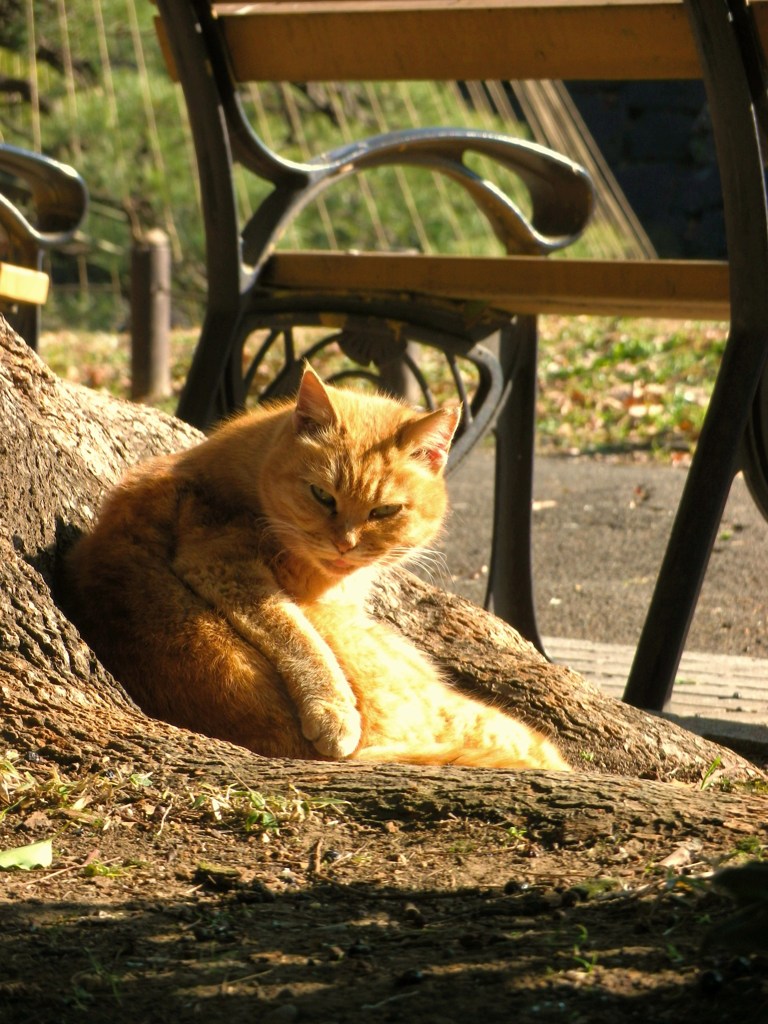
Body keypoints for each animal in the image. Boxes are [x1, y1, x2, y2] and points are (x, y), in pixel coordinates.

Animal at [67, 364, 573, 770]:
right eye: (322, 496)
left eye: (385, 511)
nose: (344, 544)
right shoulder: (220, 562)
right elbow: (298, 636)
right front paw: (334, 712)